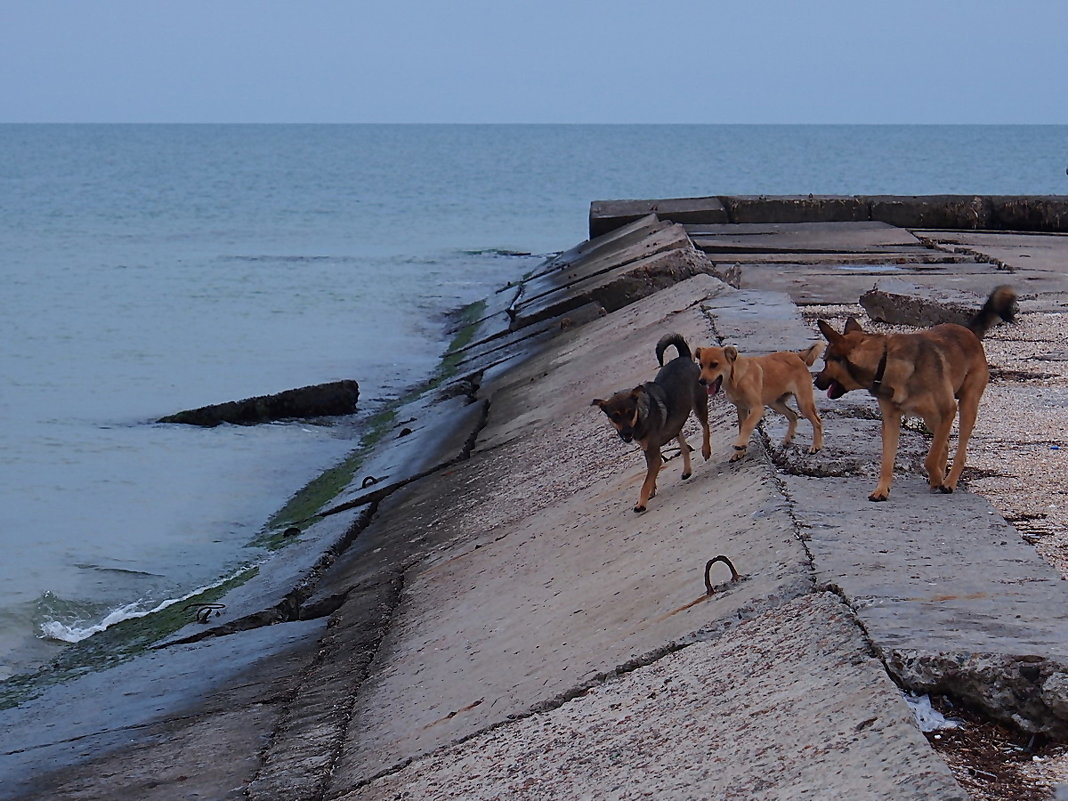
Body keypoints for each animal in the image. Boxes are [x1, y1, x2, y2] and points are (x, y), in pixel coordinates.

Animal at [593, 333, 709, 514]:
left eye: (630, 412)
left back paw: (706, 450)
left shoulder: (653, 454)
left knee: (705, 427)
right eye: (615, 417)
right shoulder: (648, 451)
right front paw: (651, 492)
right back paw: (686, 471)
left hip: (698, 405)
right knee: (683, 445)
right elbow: (650, 477)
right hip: (677, 423)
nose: (627, 434)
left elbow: (646, 481)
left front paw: (641, 503)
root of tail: (683, 357)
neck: (640, 417)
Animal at [692, 346, 824, 463]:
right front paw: (739, 452)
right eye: (701, 365)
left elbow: (747, 425)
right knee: (793, 415)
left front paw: (740, 444)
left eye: (714, 364)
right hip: (775, 403)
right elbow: (742, 427)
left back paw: (816, 446)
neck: (736, 379)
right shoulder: (741, 409)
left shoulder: (757, 408)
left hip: (803, 403)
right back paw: (788, 439)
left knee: (817, 421)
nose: (701, 381)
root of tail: (798, 356)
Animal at [815, 286, 1016, 501]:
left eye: (825, 361)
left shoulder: (947, 410)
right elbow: (888, 461)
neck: (884, 362)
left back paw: (949, 482)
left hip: (966, 405)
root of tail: (969, 332)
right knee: (944, 445)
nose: (815, 382)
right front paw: (881, 490)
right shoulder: (891, 420)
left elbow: (930, 458)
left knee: (959, 450)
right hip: (932, 418)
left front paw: (937, 478)